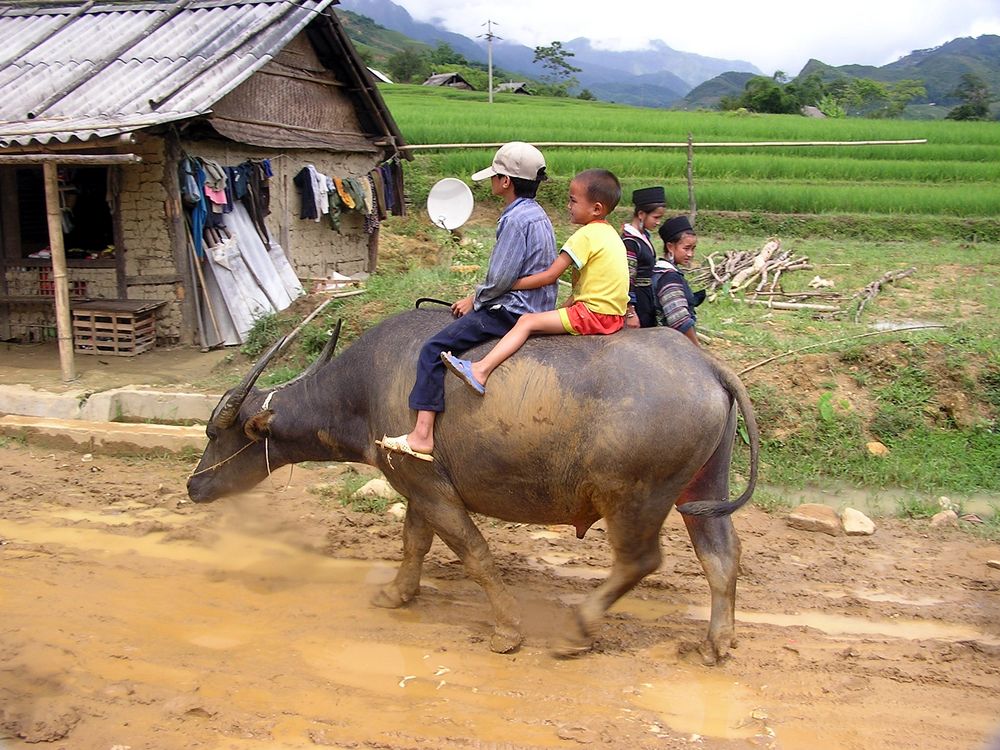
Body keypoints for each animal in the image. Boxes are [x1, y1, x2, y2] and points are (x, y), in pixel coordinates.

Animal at [188, 306, 756, 664]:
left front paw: (507, 629)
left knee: (641, 560)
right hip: (702, 486)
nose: (194, 486)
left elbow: (473, 552)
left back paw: (575, 631)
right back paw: (716, 644)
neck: (362, 392)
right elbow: (414, 542)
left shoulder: (429, 487)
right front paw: (396, 594)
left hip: (636, 497)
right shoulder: (417, 485)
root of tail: (707, 365)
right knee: (720, 552)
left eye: (216, 433)